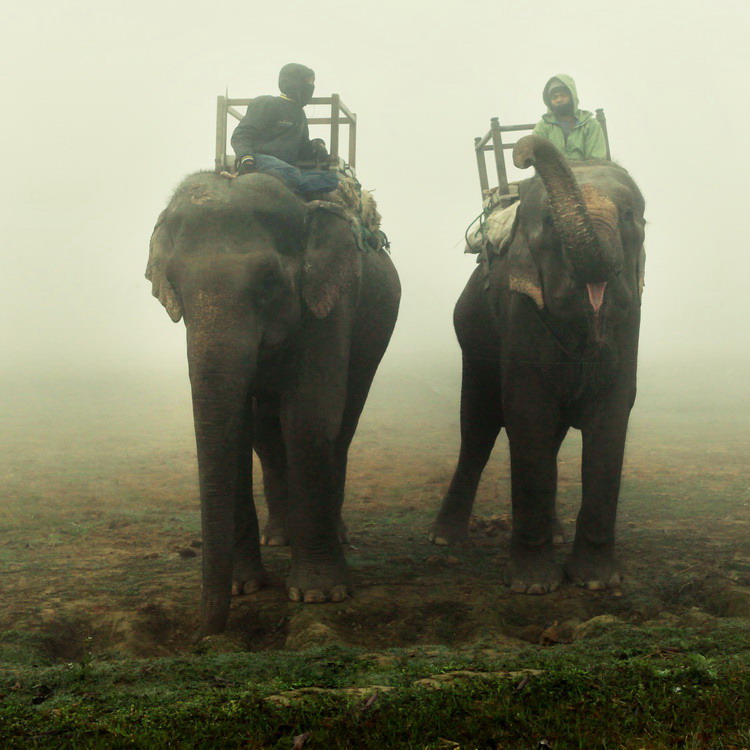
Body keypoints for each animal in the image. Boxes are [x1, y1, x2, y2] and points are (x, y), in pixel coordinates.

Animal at [149, 172, 402, 636]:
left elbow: (310, 415)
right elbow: (237, 427)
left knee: (343, 421)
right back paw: (278, 538)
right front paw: (242, 588)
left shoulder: (331, 302)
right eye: (173, 283)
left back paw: (336, 534)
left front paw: (319, 595)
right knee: (267, 436)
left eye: (268, 282)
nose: (204, 633)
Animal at [432, 134, 648, 592]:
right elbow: (528, 416)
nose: (522, 151)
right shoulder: (520, 310)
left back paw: (555, 534)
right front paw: (532, 586)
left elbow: (609, 419)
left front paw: (597, 582)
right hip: (473, 334)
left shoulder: (630, 322)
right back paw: (444, 539)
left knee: (549, 437)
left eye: (628, 216)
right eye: (549, 222)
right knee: (478, 426)